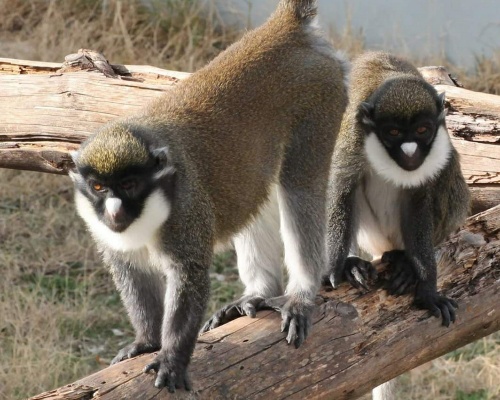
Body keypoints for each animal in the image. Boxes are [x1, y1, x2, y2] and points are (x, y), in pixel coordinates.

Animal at [68, 0, 348, 392]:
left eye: (130, 185)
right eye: (98, 187)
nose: (114, 211)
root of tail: (282, 29)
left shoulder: (186, 211)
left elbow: (190, 275)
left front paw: (171, 359)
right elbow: (131, 271)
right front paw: (147, 341)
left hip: (320, 102)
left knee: (299, 187)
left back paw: (300, 296)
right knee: (258, 197)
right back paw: (259, 292)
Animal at [326, 50, 470, 328]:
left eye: (422, 130)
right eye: (392, 132)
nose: (410, 151)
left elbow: (419, 201)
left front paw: (427, 290)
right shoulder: (353, 136)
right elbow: (340, 189)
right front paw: (334, 267)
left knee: (449, 166)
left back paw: (404, 261)